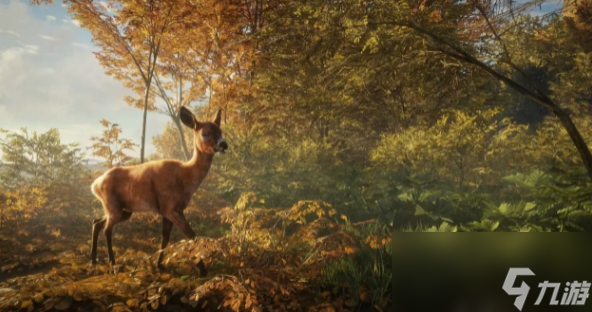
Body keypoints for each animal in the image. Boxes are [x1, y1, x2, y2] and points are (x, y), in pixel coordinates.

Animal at [89, 106, 228, 274]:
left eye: (220, 131)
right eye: (205, 133)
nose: (223, 144)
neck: (185, 177)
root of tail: (94, 185)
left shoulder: (167, 210)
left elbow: (165, 238)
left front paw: (159, 265)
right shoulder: (171, 208)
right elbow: (191, 235)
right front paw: (202, 270)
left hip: (124, 210)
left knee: (97, 222)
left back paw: (94, 260)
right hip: (112, 205)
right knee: (106, 229)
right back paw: (112, 263)